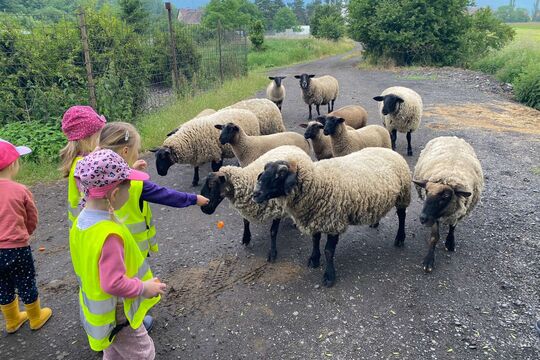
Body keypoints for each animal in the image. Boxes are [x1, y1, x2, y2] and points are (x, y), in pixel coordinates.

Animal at [252, 146, 410, 286]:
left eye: (279, 176)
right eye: (264, 172)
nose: (255, 194)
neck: (317, 181)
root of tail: (389, 150)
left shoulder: (334, 221)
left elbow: (328, 251)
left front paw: (329, 276)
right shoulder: (315, 217)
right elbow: (315, 240)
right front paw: (314, 259)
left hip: (403, 194)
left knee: (402, 216)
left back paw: (400, 238)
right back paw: (375, 222)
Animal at [414, 136, 486, 272]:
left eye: (446, 196)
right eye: (426, 191)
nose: (423, 218)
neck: (449, 176)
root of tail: (452, 137)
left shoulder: (458, 212)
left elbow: (453, 227)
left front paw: (450, 242)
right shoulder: (435, 217)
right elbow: (434, 237)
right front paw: (429, 260)